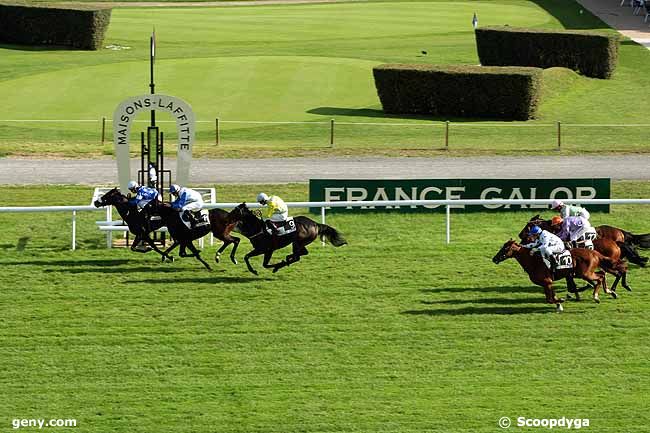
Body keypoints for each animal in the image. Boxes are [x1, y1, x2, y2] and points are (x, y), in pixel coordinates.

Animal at [492, 240, 624, 308]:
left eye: (505, 248)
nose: (494, 259)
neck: (533, 260)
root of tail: (595, 253)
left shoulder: (547, 281)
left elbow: (550, 299)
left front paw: (561, 301)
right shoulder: (547, 283)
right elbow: (551, 298)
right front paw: (560, 301)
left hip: (585, 273)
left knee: (600, 277)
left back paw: (596, 296)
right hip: (584, 272)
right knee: (602, 273)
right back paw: (609, 291)